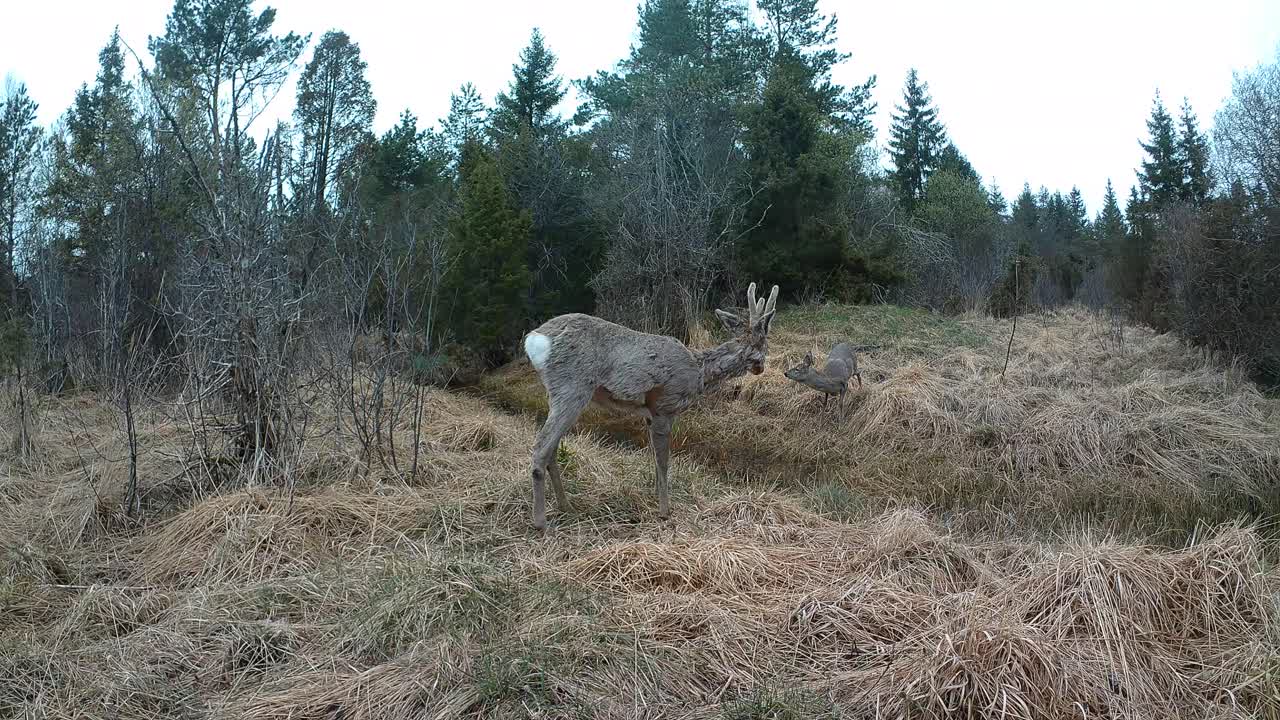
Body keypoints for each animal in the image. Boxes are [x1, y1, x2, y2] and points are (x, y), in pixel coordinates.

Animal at [522, 282, 780, 531]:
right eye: (763, 343)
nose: (760, 368)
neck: (699, 371)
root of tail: (534, 339)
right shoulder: (665, 406)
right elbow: (663, 461)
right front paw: (665, 512)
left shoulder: (648, 413)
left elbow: (655, 462)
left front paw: (657, 499)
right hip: (572, 387)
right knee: (541, 446)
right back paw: (541, 523)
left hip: (556, 393)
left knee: (552, 447)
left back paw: (566, 506)